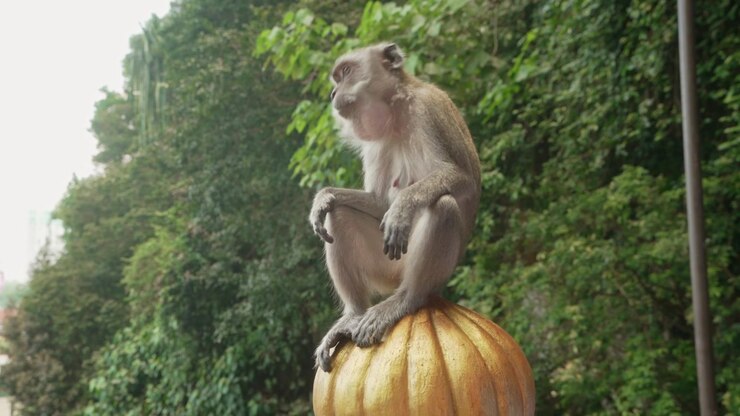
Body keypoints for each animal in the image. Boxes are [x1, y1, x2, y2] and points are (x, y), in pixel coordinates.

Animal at [310, 43, 481, 372]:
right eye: (336, 77)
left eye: (346, 72)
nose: (333, 92)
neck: (397, 110)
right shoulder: (375, 144)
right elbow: (377, 202)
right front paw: (323, 198)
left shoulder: (428, 110)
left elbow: (462, 179)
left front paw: (403, 206)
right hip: (384, 270)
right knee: (338, 216)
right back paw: (353, 314)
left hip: (421, 270)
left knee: (443, 205)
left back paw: (407, 299)